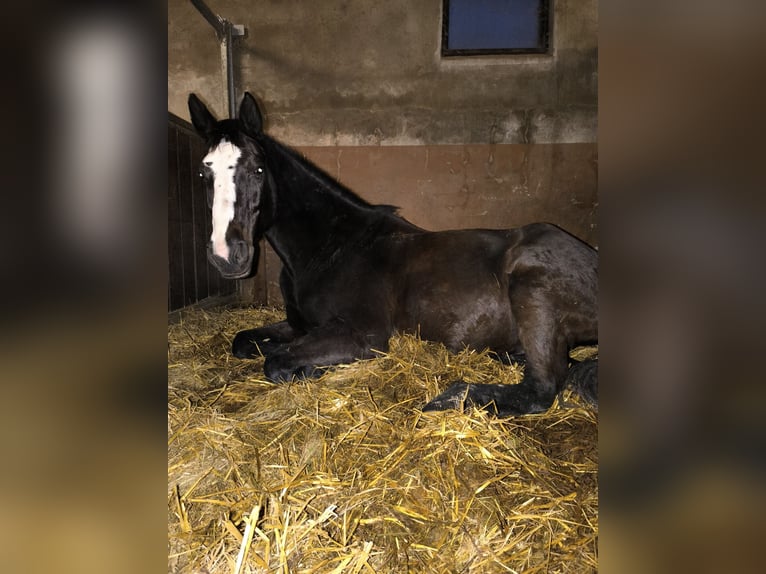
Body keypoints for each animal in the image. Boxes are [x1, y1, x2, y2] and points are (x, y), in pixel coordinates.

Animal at [188, 92, 598, 416]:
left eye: (257, 169)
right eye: (204, 175)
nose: (227, 255)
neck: (331, 246)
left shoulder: (362, 334)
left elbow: (276, 362)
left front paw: (310, 369)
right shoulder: (300, 324)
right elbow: (244, 341)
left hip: (533, 290)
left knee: (541, 389)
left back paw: (450, 398)